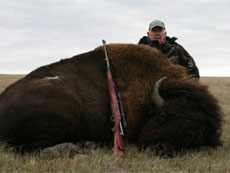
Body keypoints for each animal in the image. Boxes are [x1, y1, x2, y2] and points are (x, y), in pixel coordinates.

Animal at [0, 44, 222, 156]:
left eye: (194, 137)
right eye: (164, 116)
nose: (161, 149)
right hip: (67, 105)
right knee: (29, 149)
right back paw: (80, 148)